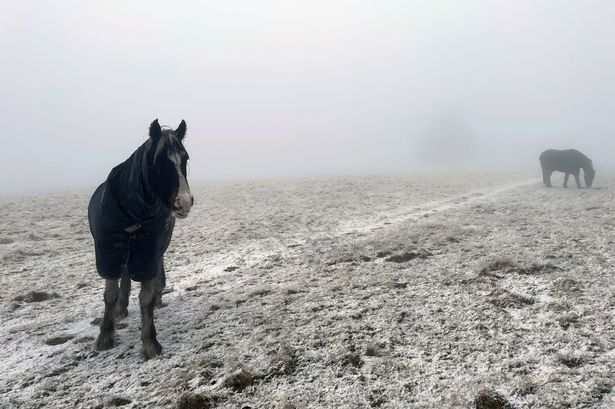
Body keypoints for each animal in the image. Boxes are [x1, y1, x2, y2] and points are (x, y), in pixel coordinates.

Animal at [88, 118, 194, 356]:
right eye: (160, 162)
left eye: (185, 158)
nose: (184, 202)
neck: (133, 212)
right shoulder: (108, 249)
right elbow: (110, 294)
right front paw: (105, 335)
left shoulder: (149, 250)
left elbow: (146, 296)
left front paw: (150, 342)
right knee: (125, 275)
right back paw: (121, 309)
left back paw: (157, 297)